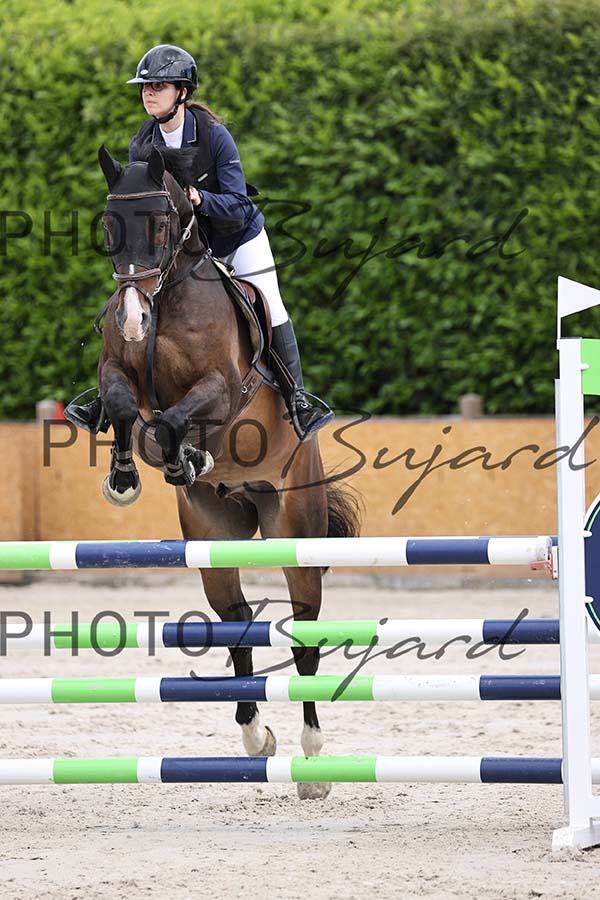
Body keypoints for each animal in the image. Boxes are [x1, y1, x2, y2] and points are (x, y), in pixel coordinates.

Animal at [92, 144, 362, 799]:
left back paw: (313, 759)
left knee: (304, 633)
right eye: (109, 228)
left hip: (293, 528)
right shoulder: (118, 371)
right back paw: (255, 735)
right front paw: (125, 476)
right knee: (236, 620)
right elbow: (124, 407)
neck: (165, 298)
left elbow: (178, 417)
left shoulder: (220, 387)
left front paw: (190, 453)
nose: (133, 319)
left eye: (161, 226)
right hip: (214, 534)